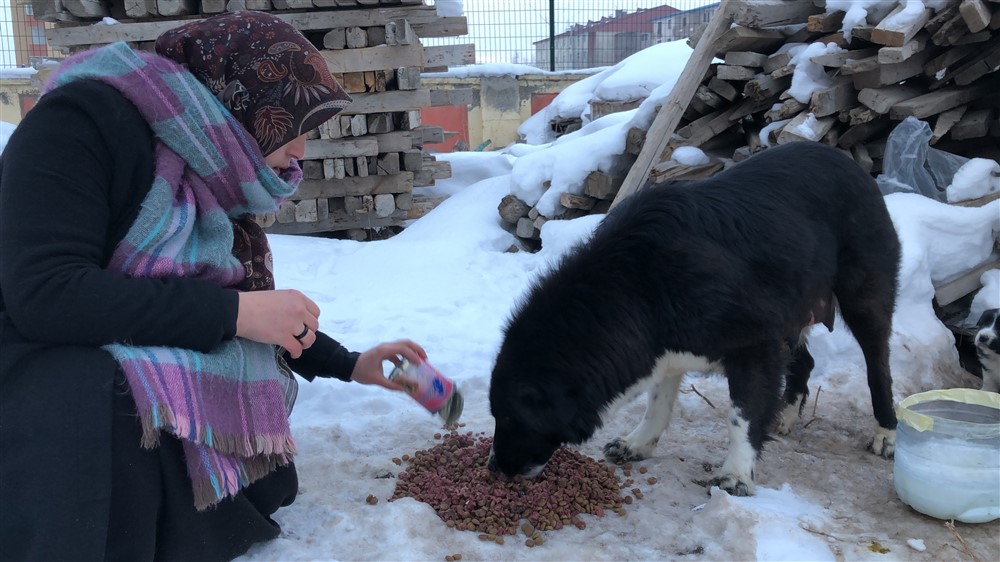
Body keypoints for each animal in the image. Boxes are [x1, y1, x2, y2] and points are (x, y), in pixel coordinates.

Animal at [488, 141, 904, 494]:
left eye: (508, 419)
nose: (494, 468)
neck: (636, 286)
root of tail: (848, 162)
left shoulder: (755, 344)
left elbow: (741, 417)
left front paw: (736, 473)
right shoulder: (669, 347)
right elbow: (658, 400)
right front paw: (639, 442)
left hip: (864, 299)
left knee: (878, 367)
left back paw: (886, 433)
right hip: (791, 307)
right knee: (805, 362)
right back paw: (785, 416)